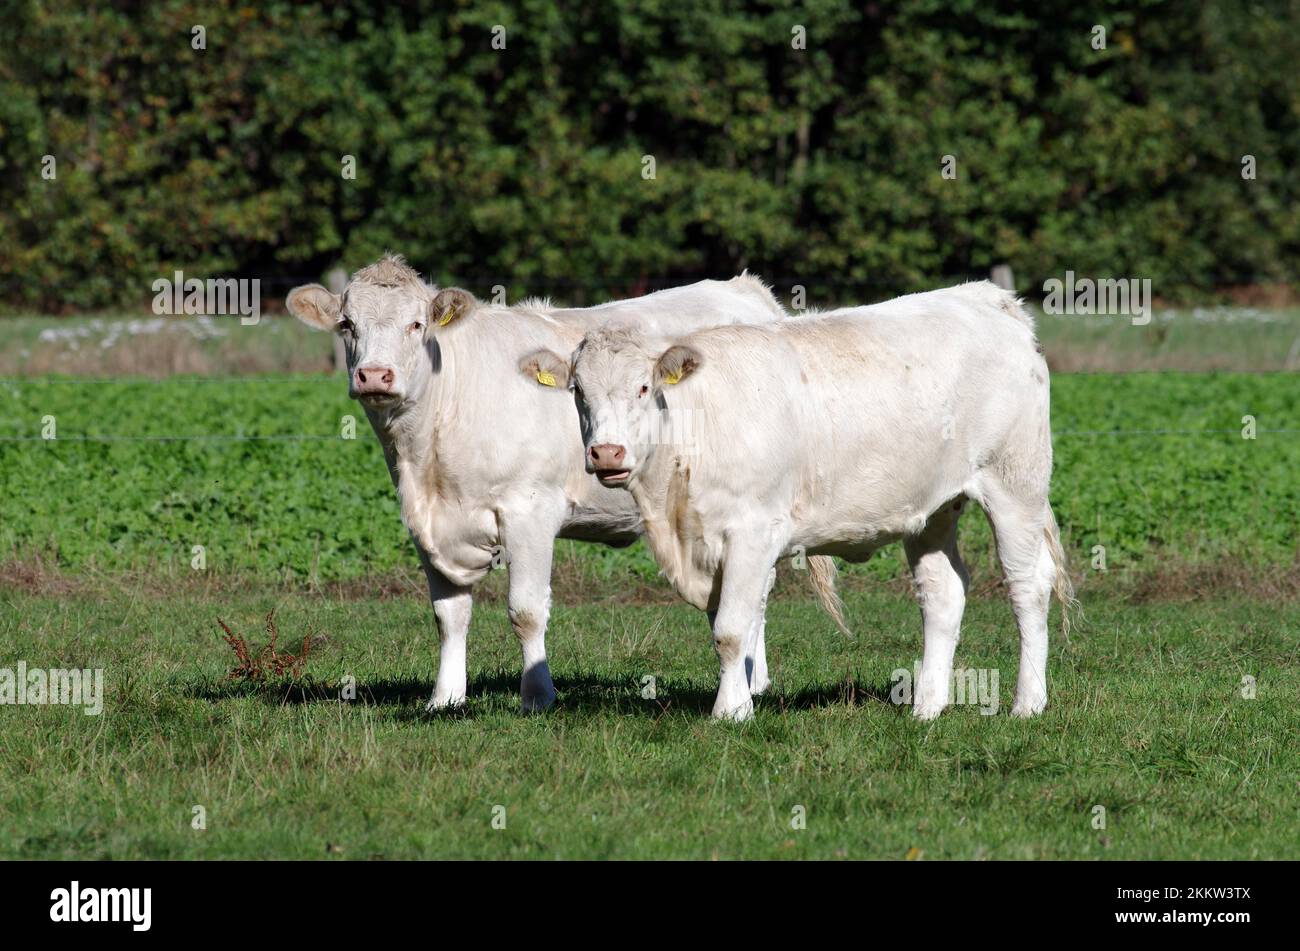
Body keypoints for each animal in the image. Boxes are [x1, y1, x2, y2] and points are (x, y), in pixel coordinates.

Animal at [286, 256, 839, 713]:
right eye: (347, 325)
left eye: (416, 324)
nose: (374, 375)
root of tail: (745, 287)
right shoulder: (428, 523)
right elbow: (449, 615)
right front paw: (445, 698)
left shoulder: (529, 510)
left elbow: (526, 611)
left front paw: (537, 696)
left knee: (757, 593)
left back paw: (753, 682)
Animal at [526, 281, 1076, 721]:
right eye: (578, 392)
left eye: (643, 387)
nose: (606, 452)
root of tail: (986, 296)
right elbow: (728, 624)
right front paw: (740, 699)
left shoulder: (752, 530)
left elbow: (730, 629)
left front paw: (730, 713)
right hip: (935, 508)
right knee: (943, 592)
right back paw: (927, 707)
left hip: (1015, 485)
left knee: (1028, 586)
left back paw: (1028, 703)